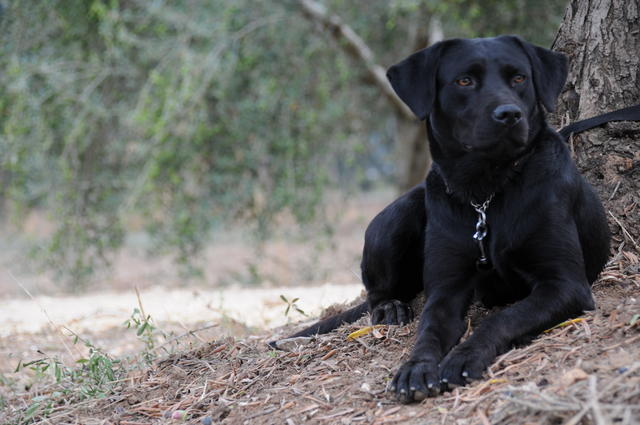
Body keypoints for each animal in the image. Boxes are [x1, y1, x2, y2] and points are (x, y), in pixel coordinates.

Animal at [270, 35, 608, 400]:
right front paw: (416, 368)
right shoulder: (446, 289)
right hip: (397, 216)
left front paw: (464, 357)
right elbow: (428, 331)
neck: (485, 192)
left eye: (519, 78)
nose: (509, 114)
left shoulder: (565, 284)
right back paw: (389, 307)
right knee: (376, 292)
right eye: (464, 81)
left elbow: (504, 318)